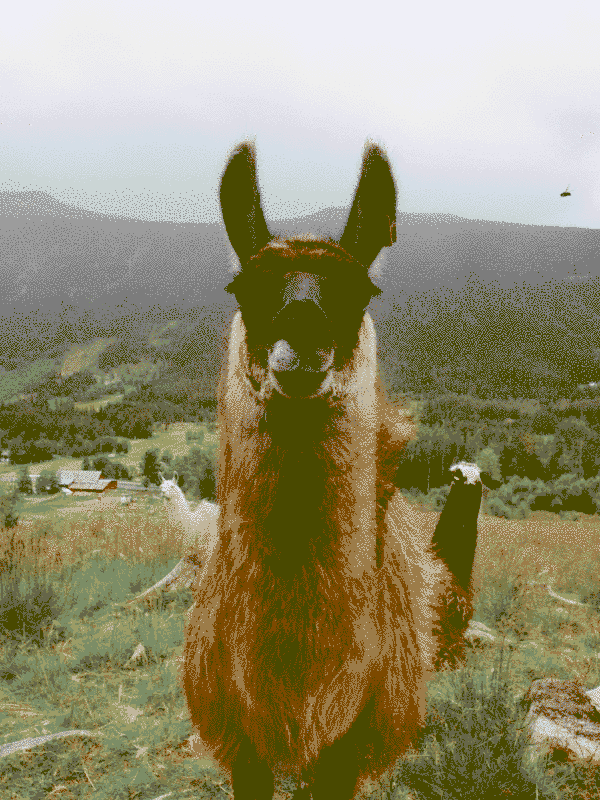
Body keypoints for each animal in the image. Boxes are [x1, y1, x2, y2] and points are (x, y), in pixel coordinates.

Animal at [183, 141, 481, 800]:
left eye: (361, 289)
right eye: (244, 286)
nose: (303, 331)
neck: (301, 686)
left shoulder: (348, 749)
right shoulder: (243, 745)